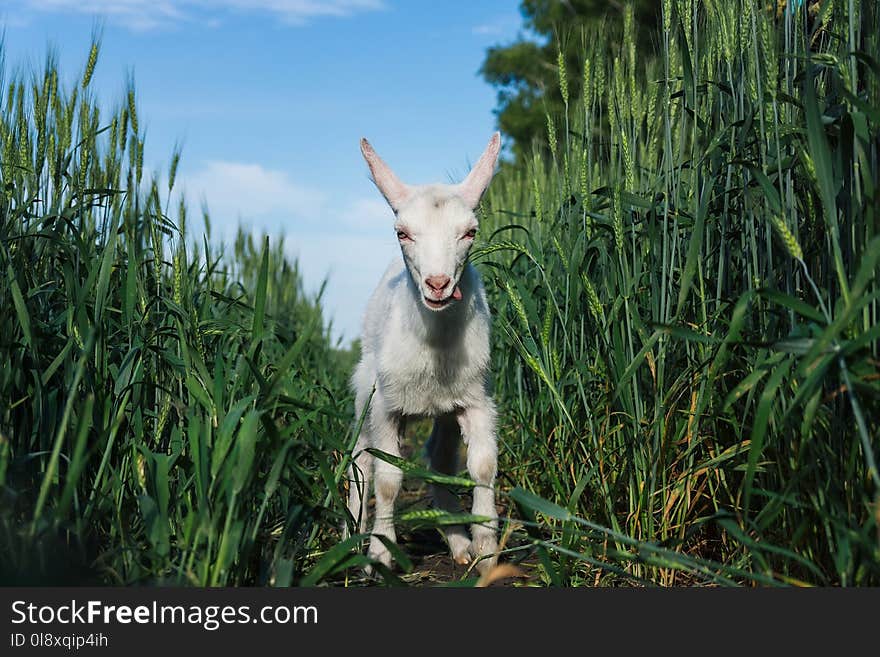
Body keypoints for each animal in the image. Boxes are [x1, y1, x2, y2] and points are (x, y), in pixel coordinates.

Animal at [346, 133, 502, 576]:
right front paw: (380, 553)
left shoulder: (476, 399)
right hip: (364, 392)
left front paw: (486, 549)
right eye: (402, 232)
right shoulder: (385, 408)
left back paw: (458, 542)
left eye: (470, 232)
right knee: (359, 462)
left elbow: (482, 466)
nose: (437, 284)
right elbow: (387, 478)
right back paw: (351, 539)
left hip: (446, 411)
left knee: (439, 460)